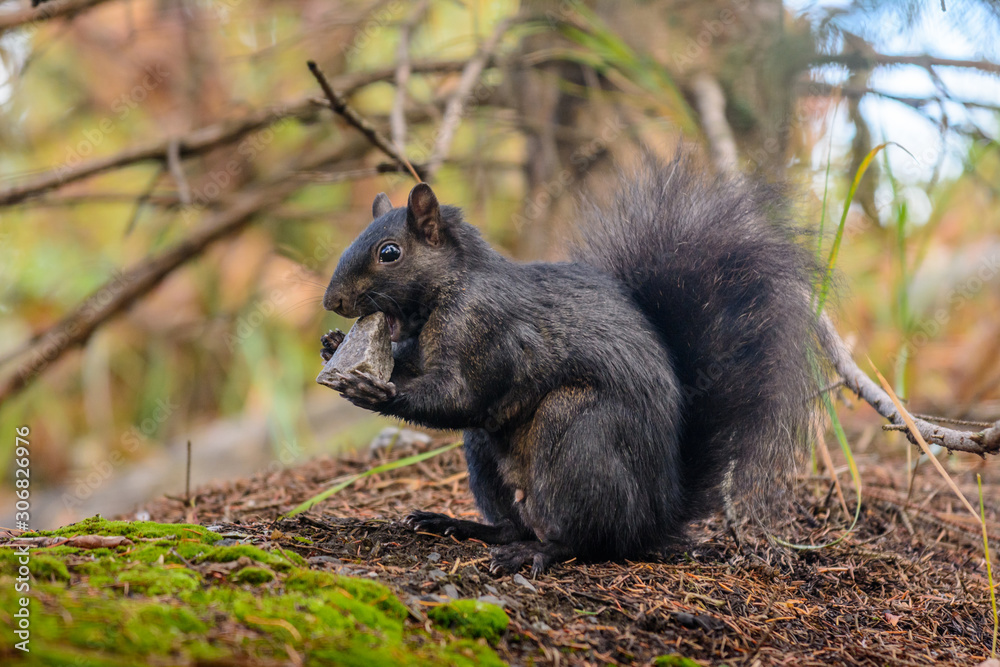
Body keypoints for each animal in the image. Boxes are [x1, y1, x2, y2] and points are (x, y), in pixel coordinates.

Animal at [320, 153, 822, 576]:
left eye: (389, 252)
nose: (332, 302)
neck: (448, 290)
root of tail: (657, 515)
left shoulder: (486, 329)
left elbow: (460, 396)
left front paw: (373, 391)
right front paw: (332, 346)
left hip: (577, 432)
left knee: (584, 542)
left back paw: (532, 553)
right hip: (487, 457)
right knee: (512, 523)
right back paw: (455, 524)